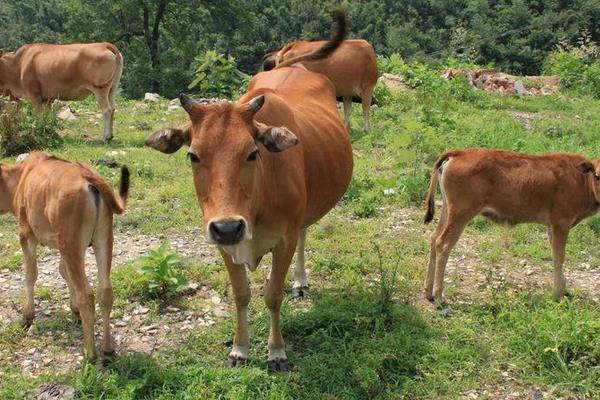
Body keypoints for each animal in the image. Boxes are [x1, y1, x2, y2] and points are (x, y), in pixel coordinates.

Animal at [0, 152, 129, 360]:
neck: (19, 178)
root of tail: (88, 177)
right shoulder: (62, 246)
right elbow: (63, 271)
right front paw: (73, 309)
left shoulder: (26, 234)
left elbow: (31, 274)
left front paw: (27, 315)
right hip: (103, 239)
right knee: (105, 291)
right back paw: (108, 348)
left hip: (72, 244)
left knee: (87, 295)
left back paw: (90, 354)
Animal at [146, 8, 352, 372]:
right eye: (192, 155)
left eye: (253, 153)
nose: (229, 226)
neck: (255, 206)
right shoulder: (222, 243)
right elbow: (241, 294)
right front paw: (240, 349)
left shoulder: (283, 240)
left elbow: (273, 294)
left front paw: (277, 352)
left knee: (304, 234)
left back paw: (300, 280)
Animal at [422, 148, 600, 302]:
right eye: (597, 176)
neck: (581, 180)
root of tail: (460, 152)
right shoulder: (561, 224)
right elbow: (559, 257)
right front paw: (558, 293)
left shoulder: (552, 227)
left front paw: (564, 290)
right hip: (461, 214)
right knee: (443, 244)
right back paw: (438, 296)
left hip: (448, 211)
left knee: (434, 238)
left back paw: (428, 291)